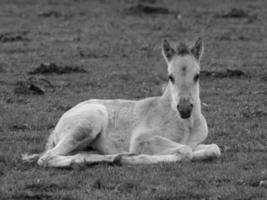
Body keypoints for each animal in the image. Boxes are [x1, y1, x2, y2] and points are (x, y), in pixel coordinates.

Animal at [22, 37, 222, 167]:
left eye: (197, 75)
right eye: (170, 77)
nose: (185, 108)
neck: (185, 124)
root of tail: (57, 127)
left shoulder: (196, 142)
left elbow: (212, 149)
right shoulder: (142, 139)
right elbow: (185, 152)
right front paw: (134, 157)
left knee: (72, 154)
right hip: (90, 121)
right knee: (46, 158)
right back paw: (117, 157)